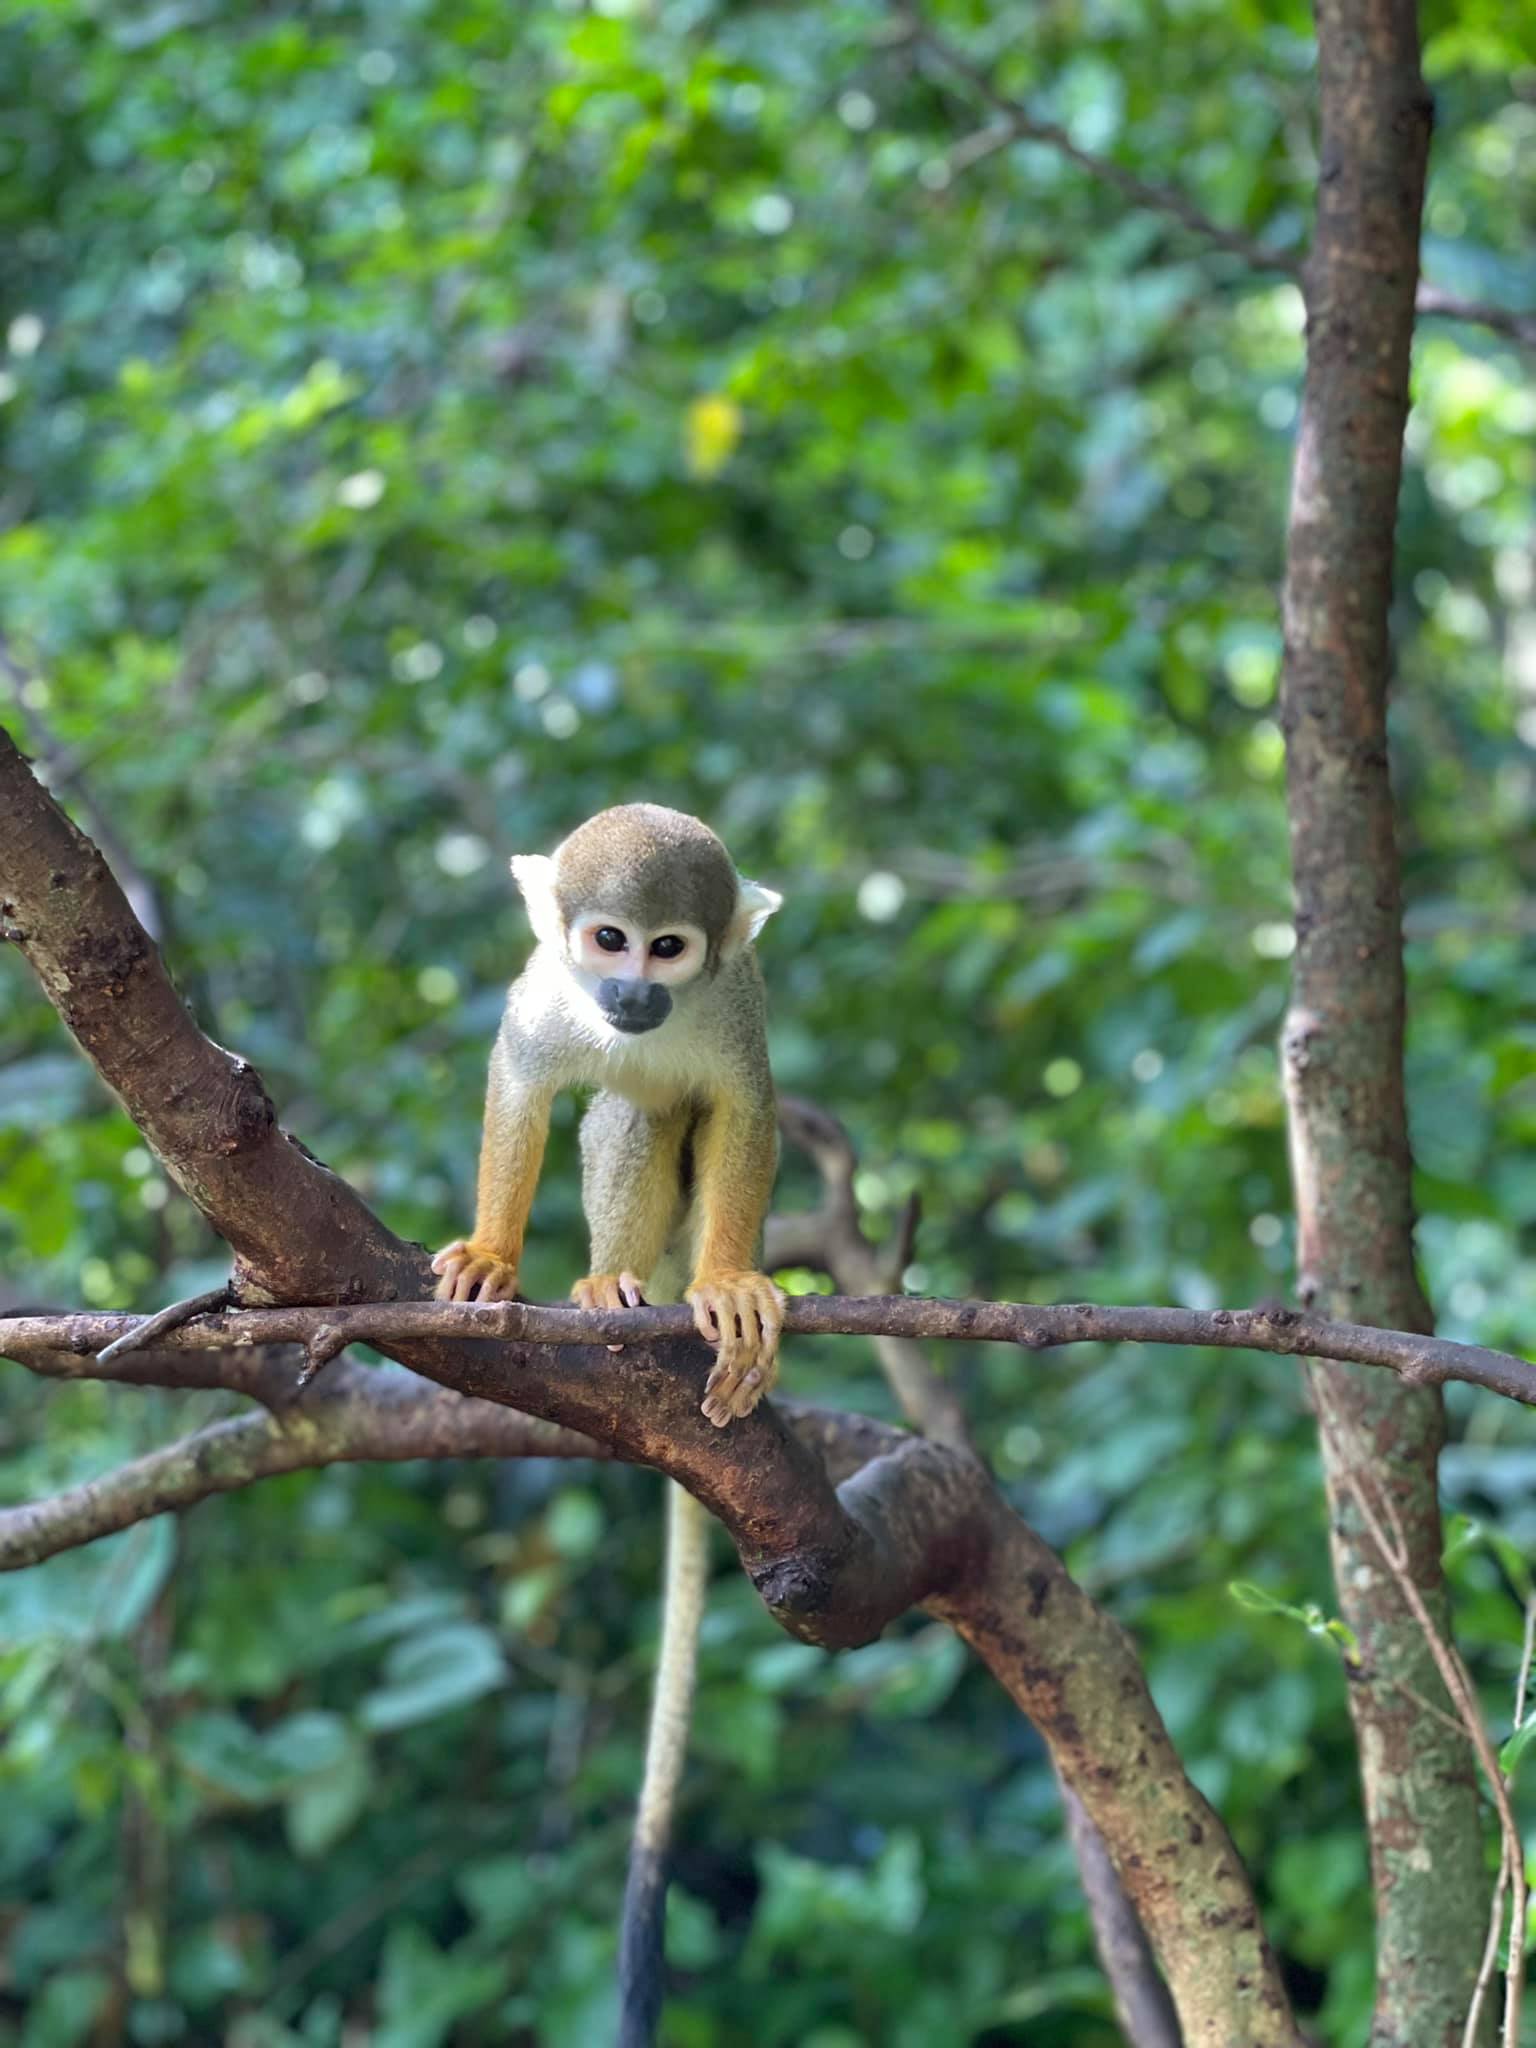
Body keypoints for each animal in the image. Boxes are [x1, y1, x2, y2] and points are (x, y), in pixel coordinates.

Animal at [431, 803, 785, 2047]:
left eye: (669, 948)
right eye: (609, 939)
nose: (630, 989)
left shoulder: (735, 1005)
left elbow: (745, 1110)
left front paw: (733, 1282)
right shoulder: (547, 994)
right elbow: (522, 1089)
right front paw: (493, 1254)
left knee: (669, 1109)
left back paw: (690, 1288)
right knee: (622, 1110)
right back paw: (608, 1285)